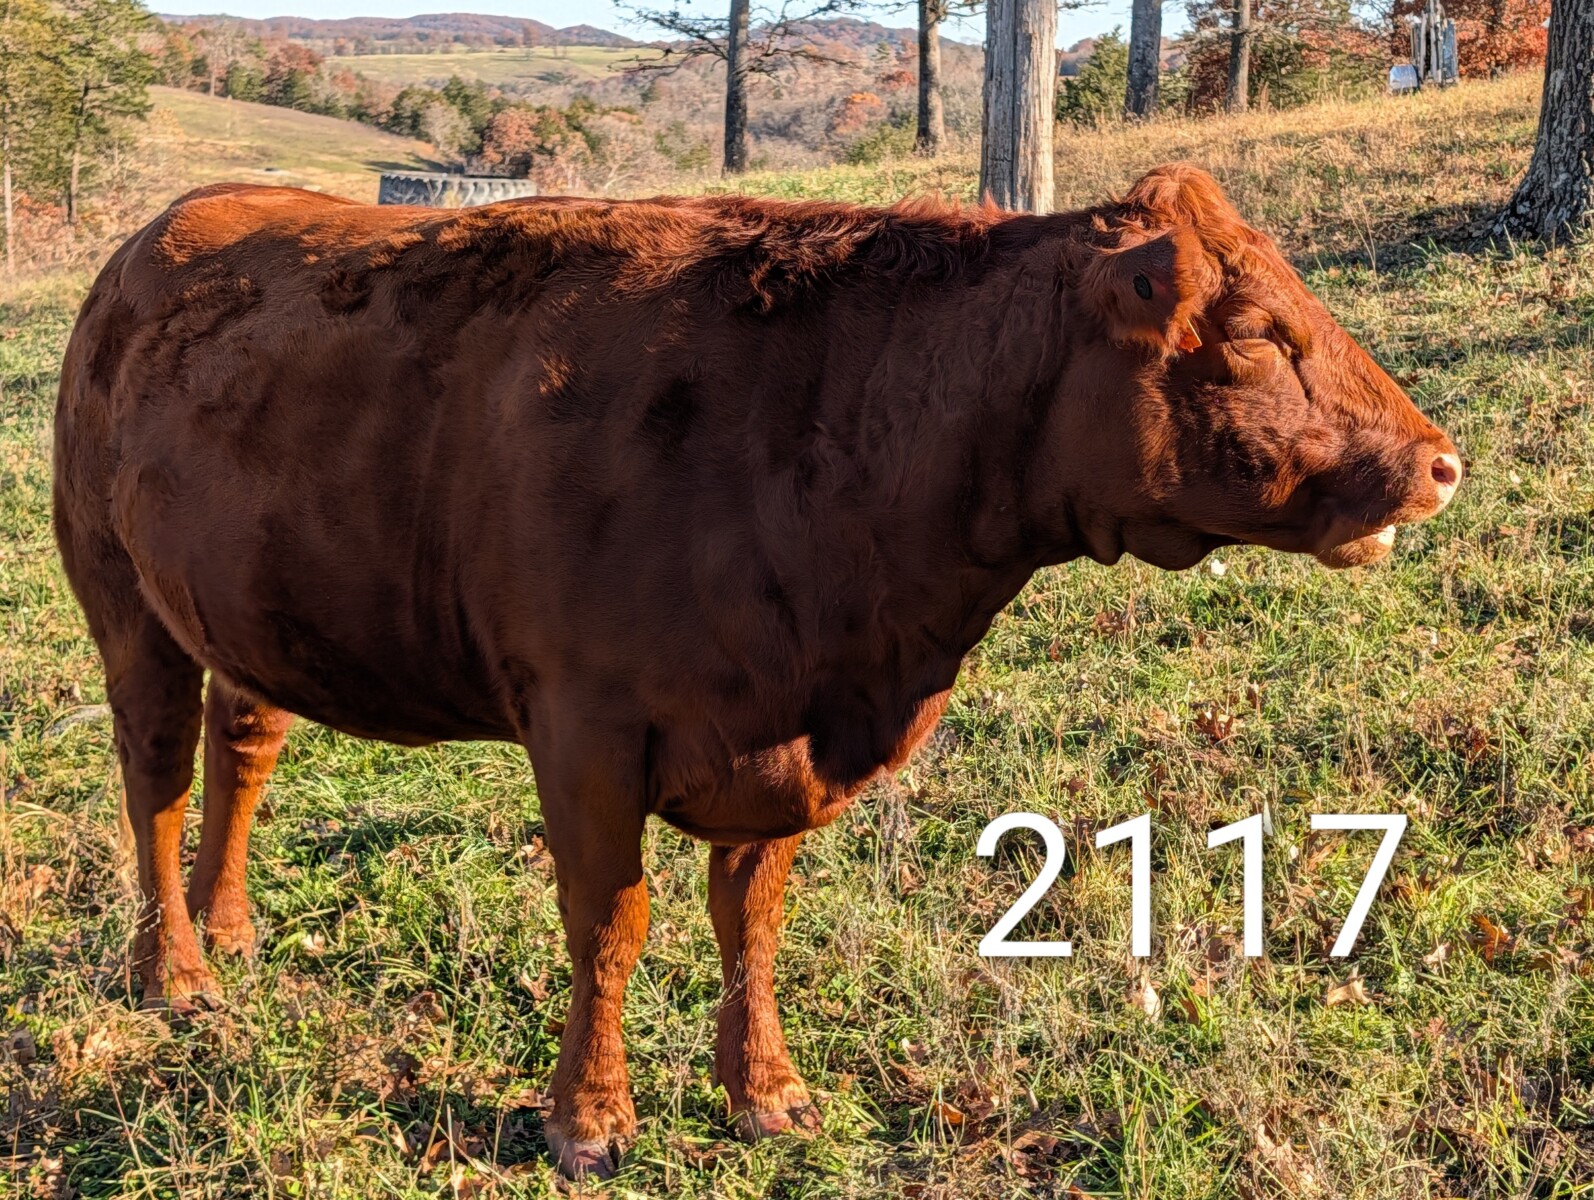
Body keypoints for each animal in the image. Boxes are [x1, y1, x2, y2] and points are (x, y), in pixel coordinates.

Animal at [53, 165, 1460, 1178]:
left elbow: (752, 922)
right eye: (1258, 334)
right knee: (153, 776)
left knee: (241, 746)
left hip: (245, 607)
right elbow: (609, 922)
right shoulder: (585, 724)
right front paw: (587, 1120)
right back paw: (174, 971)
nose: (1439, 463)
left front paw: (765, 1094)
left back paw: (229, 926)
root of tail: (165, 230)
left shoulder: (780, 737)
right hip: (121, 600)